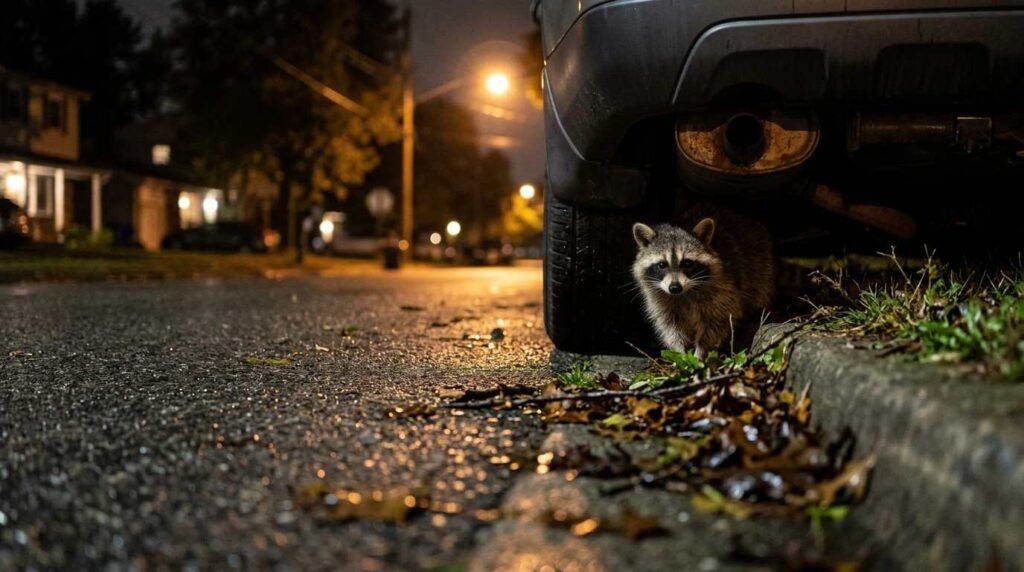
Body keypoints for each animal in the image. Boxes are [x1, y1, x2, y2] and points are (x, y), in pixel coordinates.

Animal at [631, 210, 775, 357]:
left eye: (687, 263)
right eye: (662, 265)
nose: (675, 287)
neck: (684, 293)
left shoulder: (723, 289)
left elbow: (716, 322)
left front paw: (701, 351)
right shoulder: (661, 301)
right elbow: (671, 326)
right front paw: (680, 351)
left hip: (761, 266)